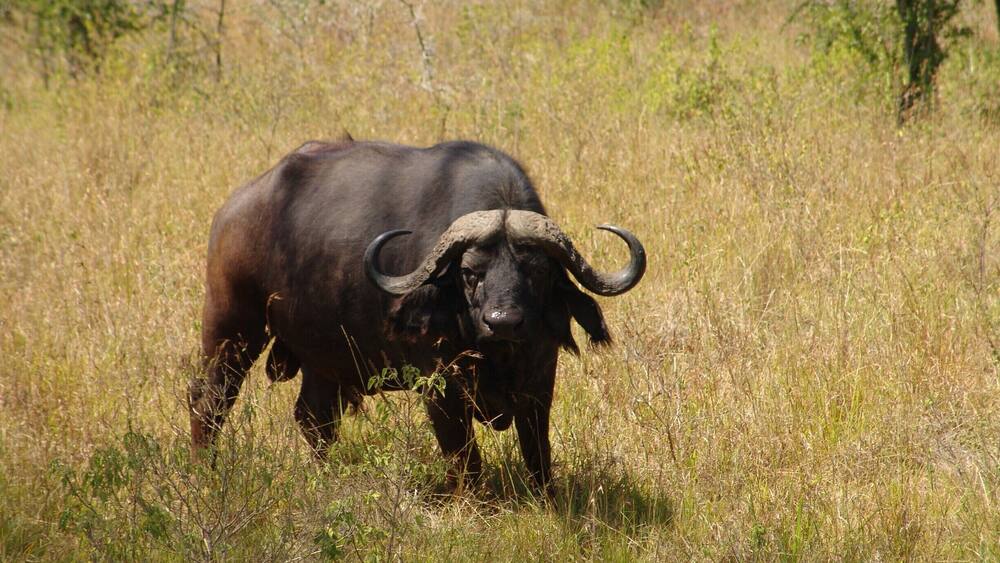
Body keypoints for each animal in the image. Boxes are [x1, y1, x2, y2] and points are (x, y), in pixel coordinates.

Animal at [188, 138, 646, 494]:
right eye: (470, 272)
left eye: (537, 271)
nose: (502, 322)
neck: (495, 355)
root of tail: (235, 209)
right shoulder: (440, 387)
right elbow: (464, 456)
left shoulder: (539, 381)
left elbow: (538, 453)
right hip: (232, 325)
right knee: (210, 399)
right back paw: (204, 469)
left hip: (325, 358)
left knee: (314, 417)